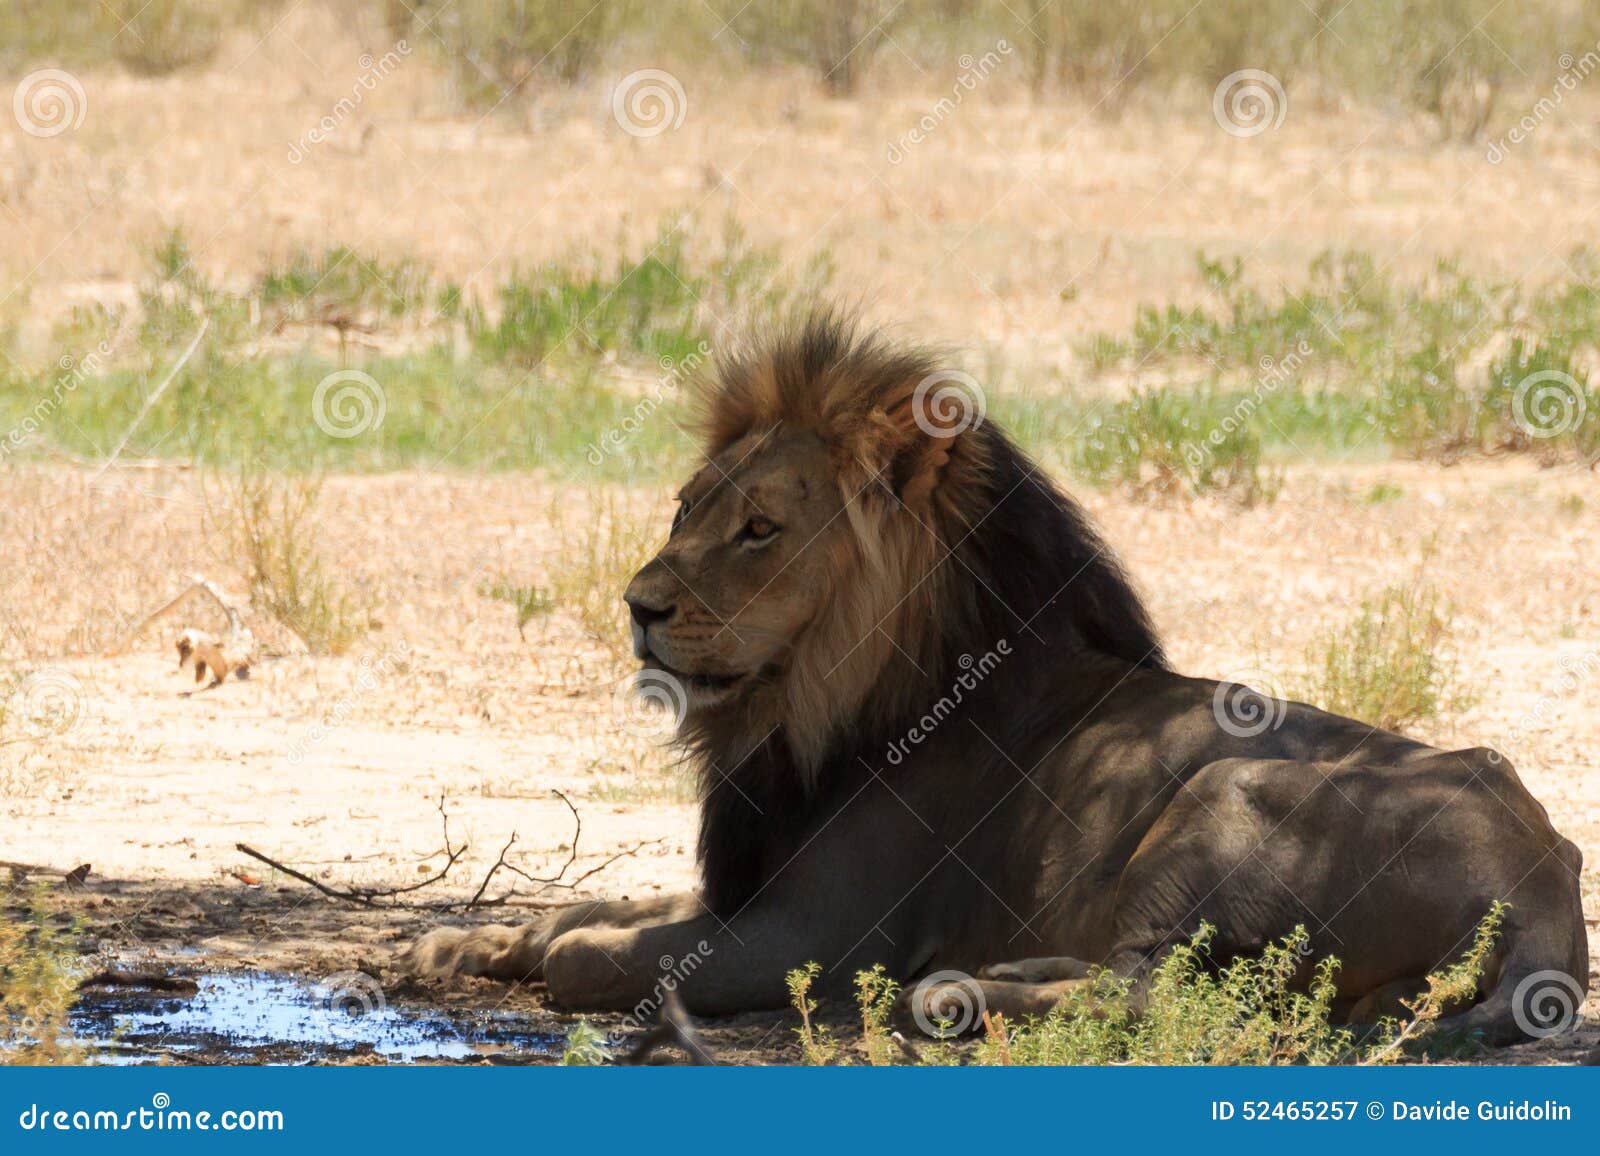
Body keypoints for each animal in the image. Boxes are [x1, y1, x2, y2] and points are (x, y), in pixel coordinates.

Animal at [403, 310, 1587, 1037]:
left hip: (1226, 787)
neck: (796, 709)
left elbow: (595, 956)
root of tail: (1542, 881)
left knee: (1150, 995)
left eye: (759, 529)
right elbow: (576, 915)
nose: (639, 606)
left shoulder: (810, 933)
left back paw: (952, 994)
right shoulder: (744, 890)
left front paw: (541, 955)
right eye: (685, 509)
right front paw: (462, 943)